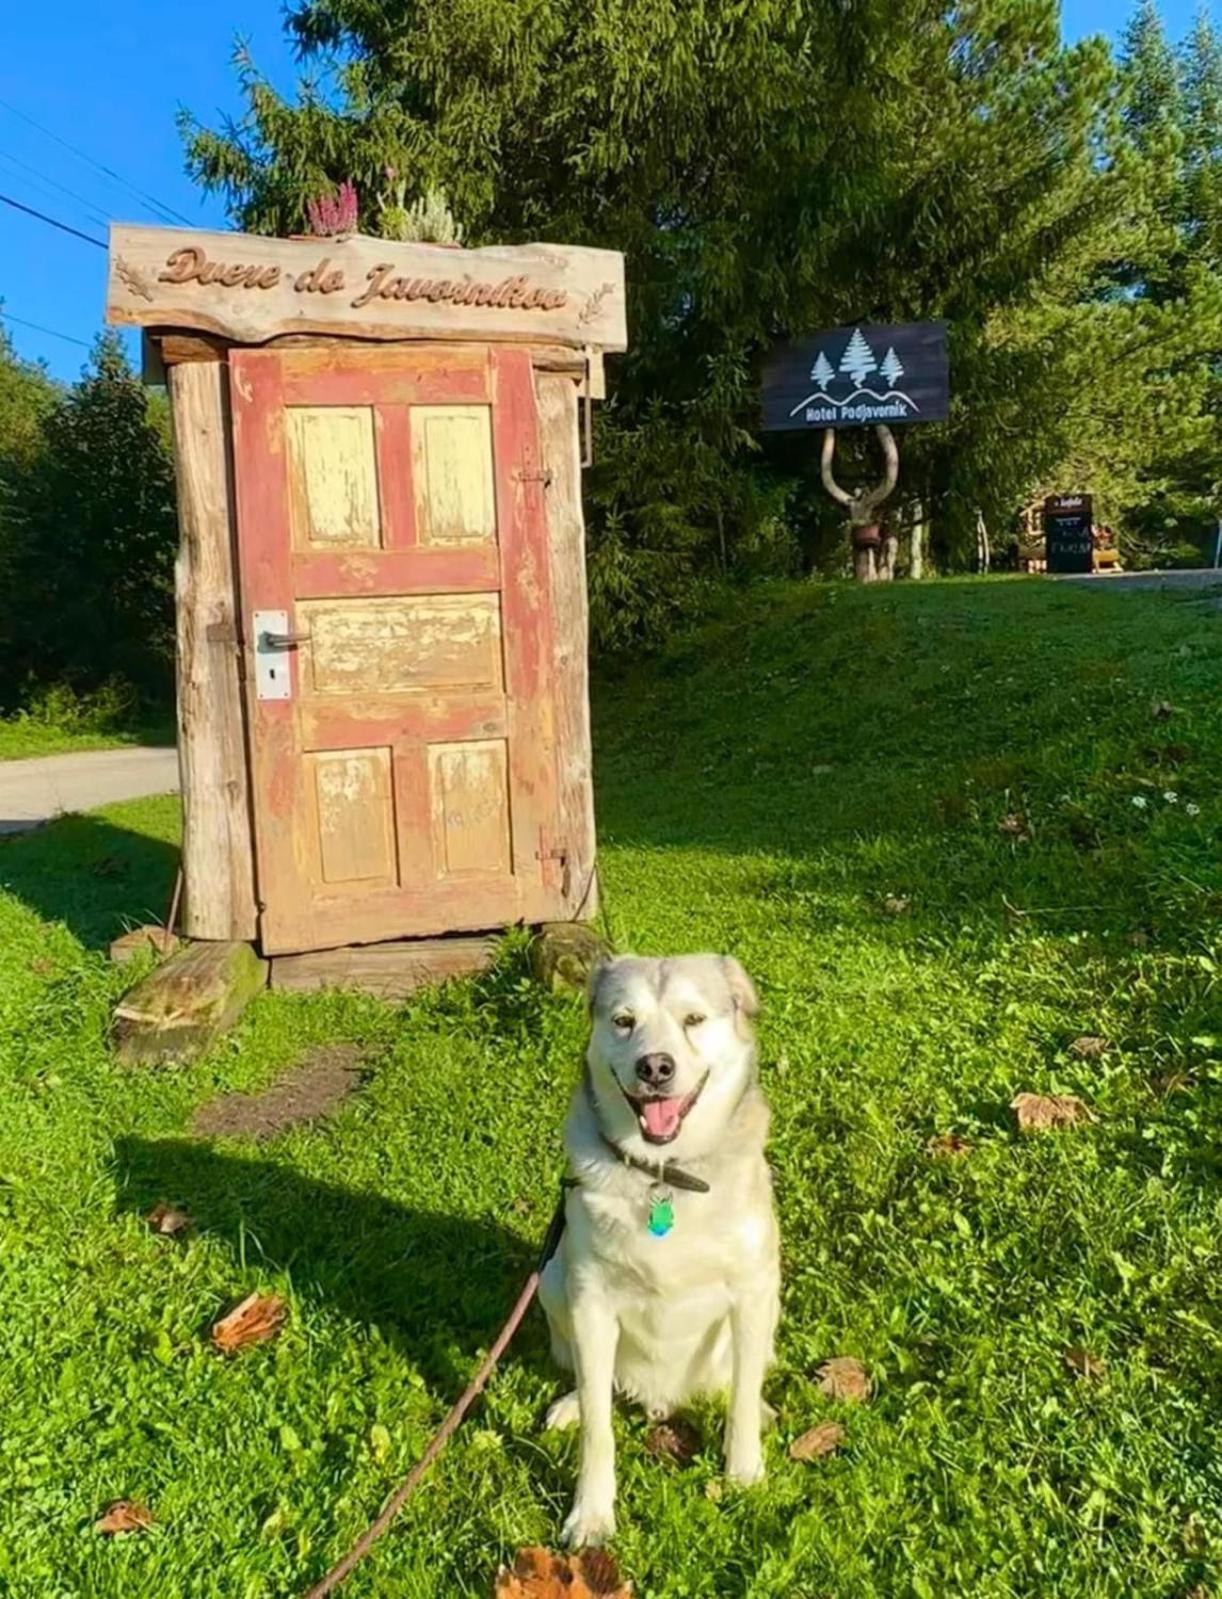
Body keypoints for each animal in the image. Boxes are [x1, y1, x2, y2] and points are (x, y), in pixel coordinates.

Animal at [540, 953, 777, 1541]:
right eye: (624, 1021)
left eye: (693, 1019)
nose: (655, 1068)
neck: (664, 1175)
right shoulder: (590, 1301)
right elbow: (599, 1427)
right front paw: (592, 1511)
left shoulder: (751, 1290)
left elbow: (741, 1397)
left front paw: (744, 1473)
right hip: (553, 1277)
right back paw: (572, 1403)